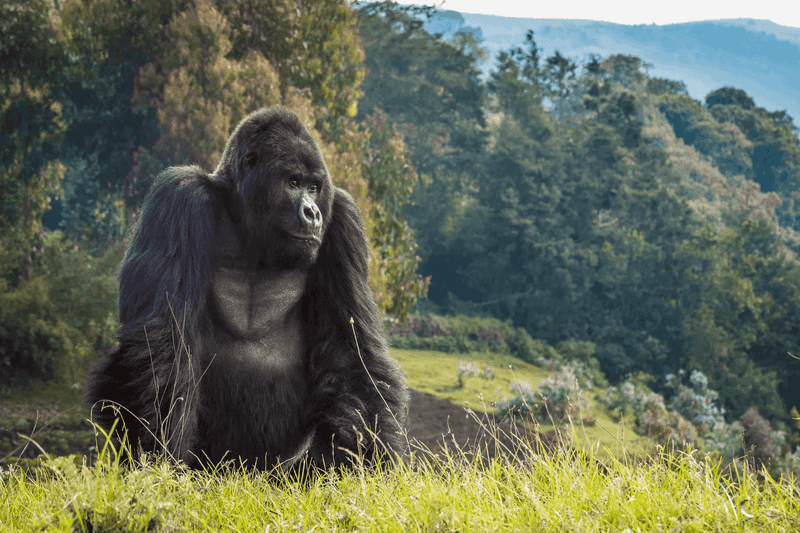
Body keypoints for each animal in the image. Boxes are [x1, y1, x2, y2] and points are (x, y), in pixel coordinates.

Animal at [85, 105, 410, 470]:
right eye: (293, 182)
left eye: (314, 187)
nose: (312, 213)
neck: (245, 219)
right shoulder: (179, 196)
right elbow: (164, 338)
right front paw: (158, 455)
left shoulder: (342, 219)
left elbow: (351, 353)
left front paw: (367, 465)